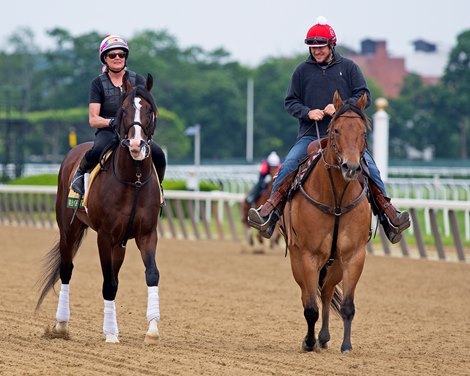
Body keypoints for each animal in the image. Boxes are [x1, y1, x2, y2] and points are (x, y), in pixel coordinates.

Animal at [35, 73, 162, 344]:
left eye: (149, 110)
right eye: (124, 110)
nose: (136, 144)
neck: (134, 179)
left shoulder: (147, 234)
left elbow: (151, 274)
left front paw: (152, 330)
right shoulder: (104, 236)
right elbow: (108, 284)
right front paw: (111, 334)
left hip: (120, 243)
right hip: (69, 229)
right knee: (66, 269)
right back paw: (61, 325)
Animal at [280, 90, 372, 352]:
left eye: (363, 132)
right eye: (336, 130)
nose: (351, 167)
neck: (336, 200)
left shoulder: (353, 255)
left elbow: (347, 305)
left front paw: (346, 345)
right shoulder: (308, 255)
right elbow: (310, 308)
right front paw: (308, 342)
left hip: (336, 264)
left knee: (327, 292)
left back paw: (324, 336)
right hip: (297, 259)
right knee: (307, 295)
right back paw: (313, 339)